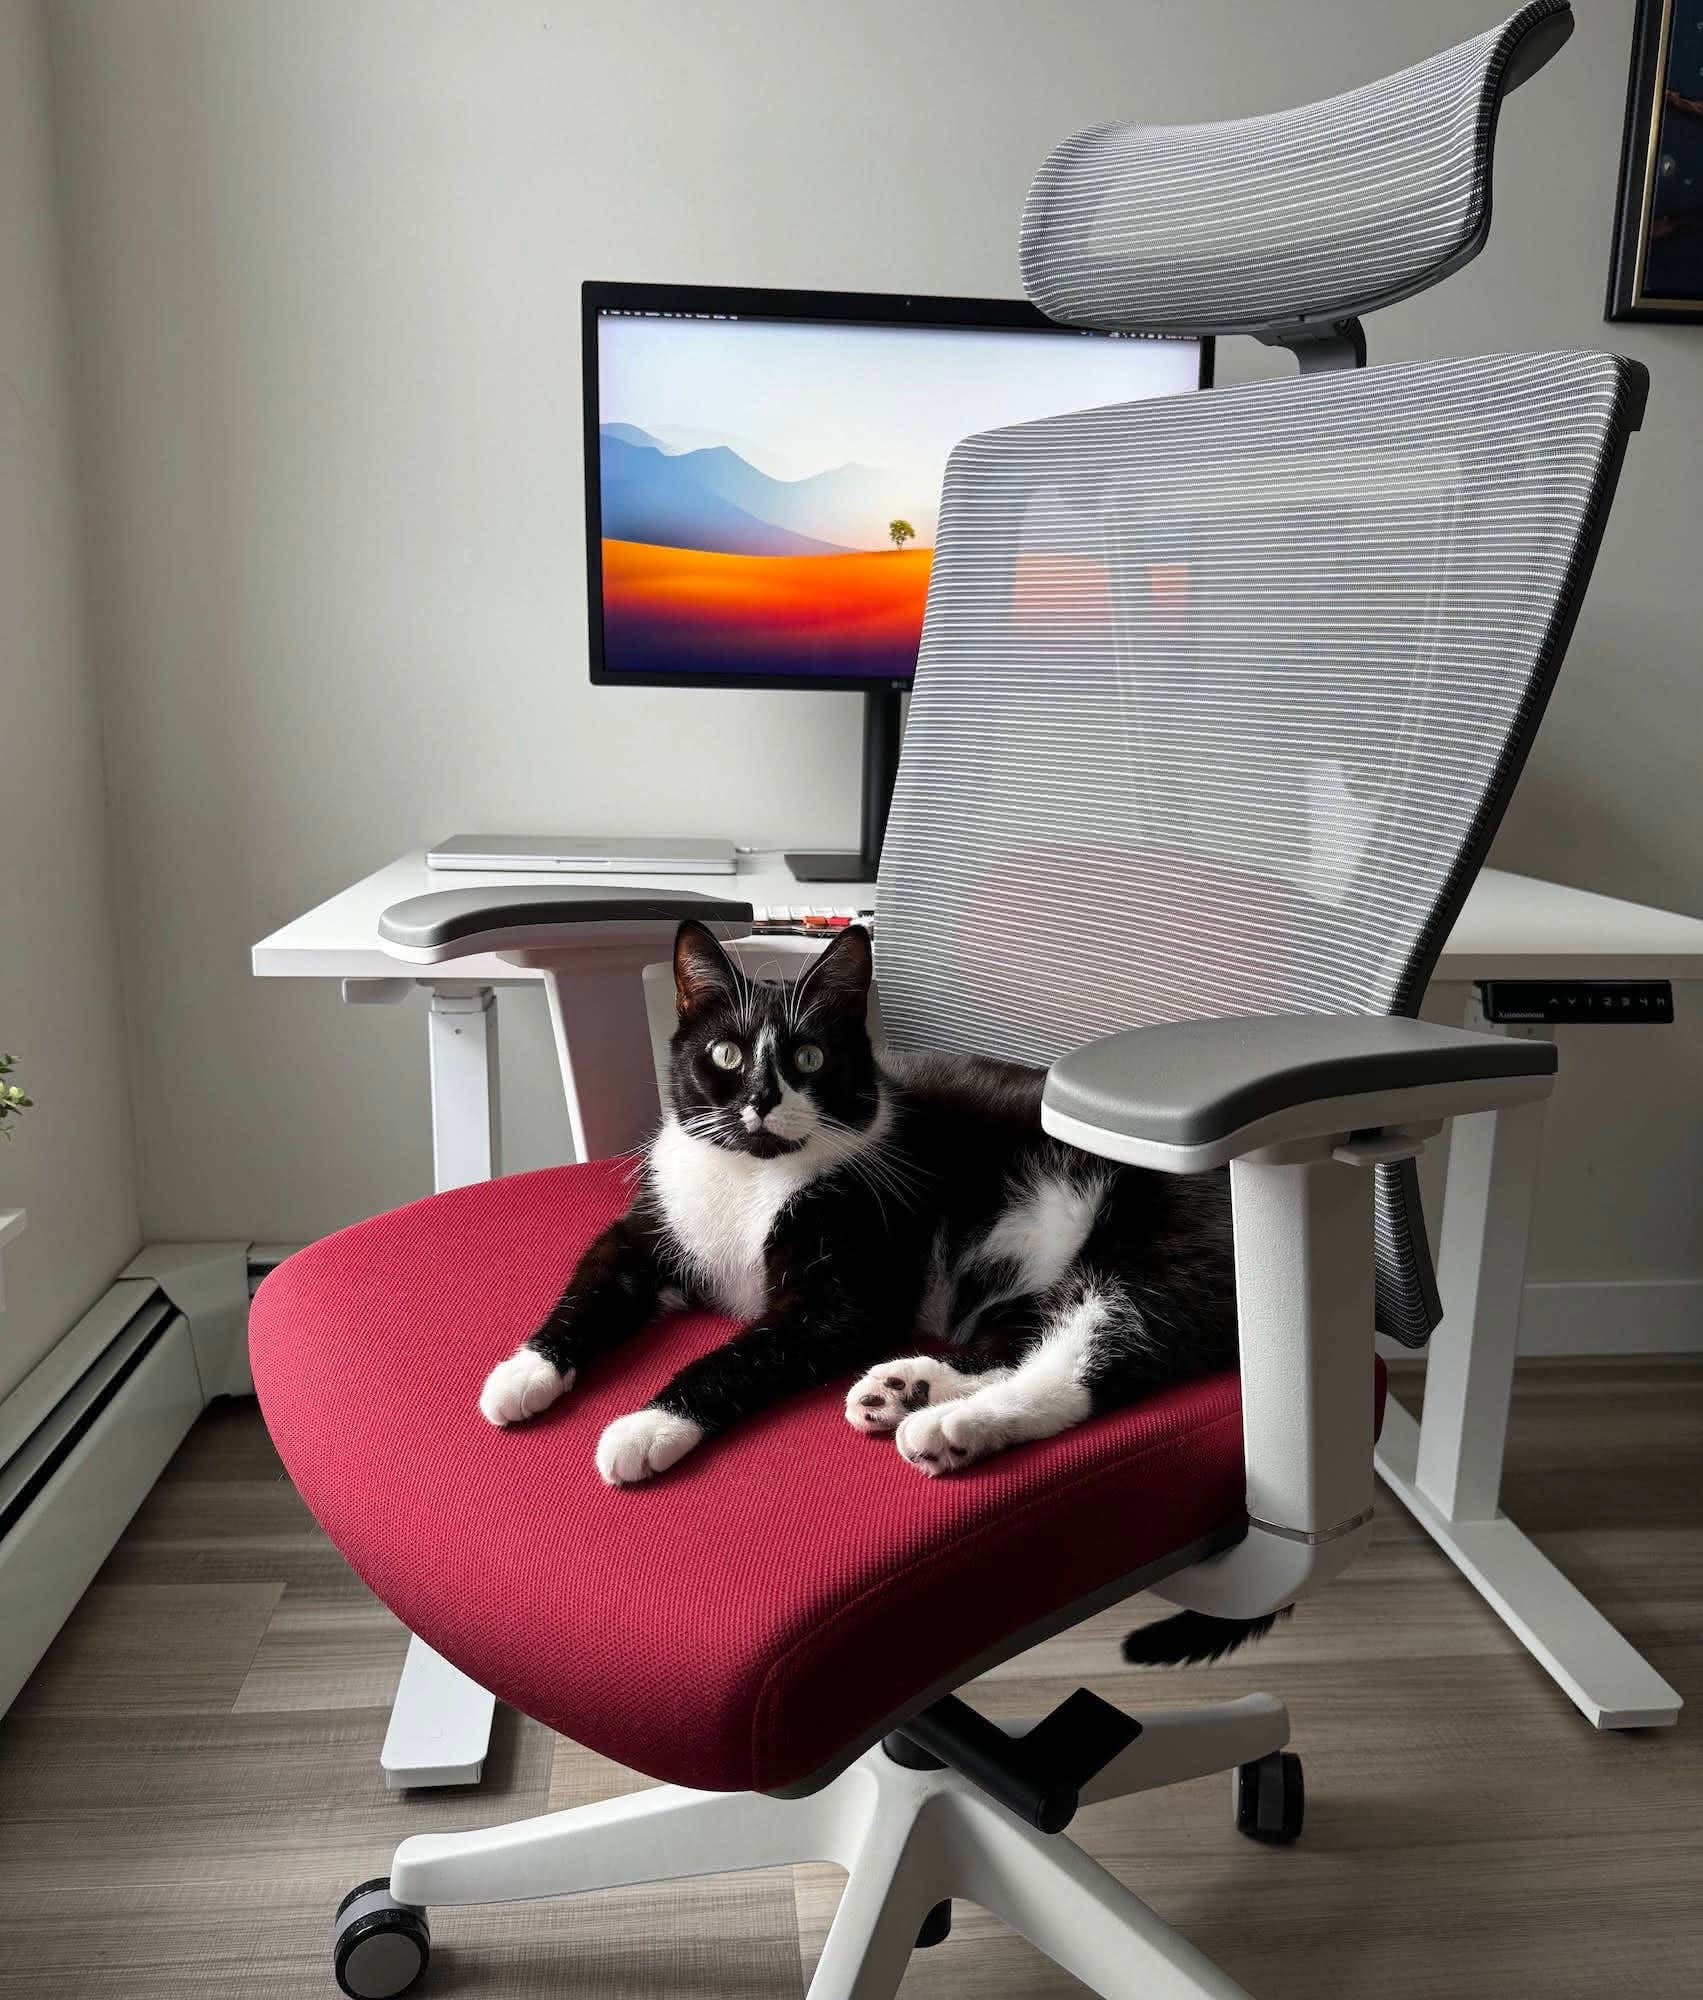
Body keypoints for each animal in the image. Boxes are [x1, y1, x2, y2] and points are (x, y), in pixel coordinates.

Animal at [479, 920, 1239, 1504]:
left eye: (811, 1058)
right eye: (725, 1053)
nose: (762, 1101)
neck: (752, 1177)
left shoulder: (845, 1287)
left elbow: (746, 1350)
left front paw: (649, 1426)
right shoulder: (649, 1227)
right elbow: (591, 1285)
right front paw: (523, 1373)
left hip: (1154, 1245)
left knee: (1092, 1361)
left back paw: (948, 1428)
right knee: (1022, 1338)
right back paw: (906, 1387)